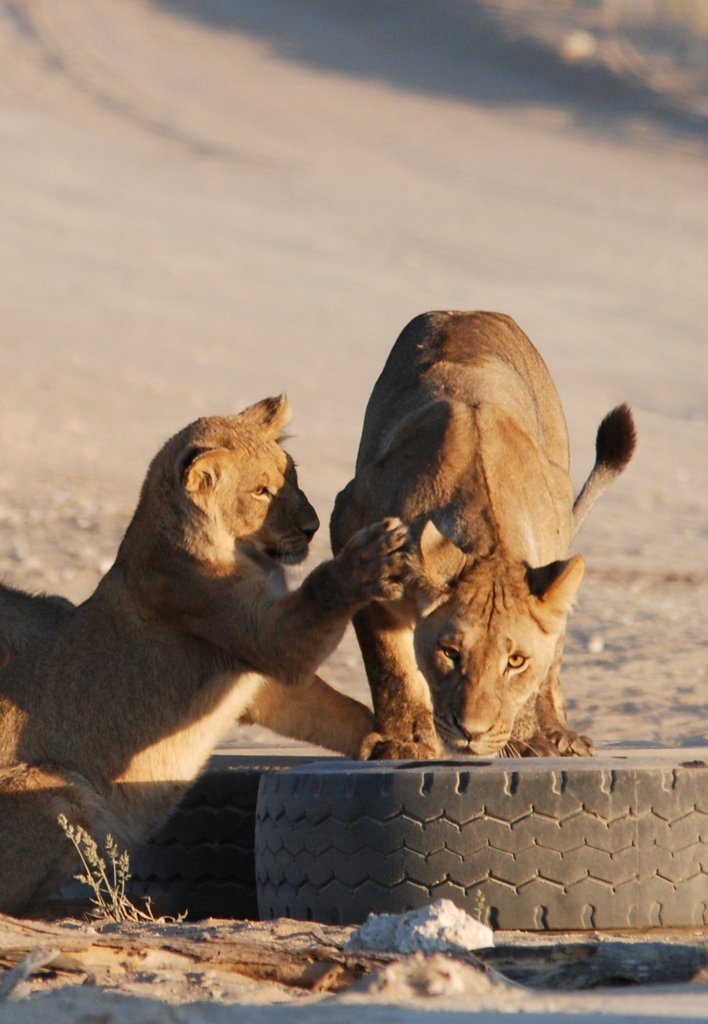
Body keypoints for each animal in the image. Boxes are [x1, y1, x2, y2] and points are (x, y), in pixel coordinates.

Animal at [0, 395, 410, 915]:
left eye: (292, 475)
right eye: (261, 491)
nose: (312, 528)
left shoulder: (260, 683)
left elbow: (329, 710)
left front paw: (385, 742)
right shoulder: (266, 636)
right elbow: (320, 595)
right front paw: (365, 561)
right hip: (63, 790)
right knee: (22, 902)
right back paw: (115, 904)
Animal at [331, 311, 636, 760]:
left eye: (516, 661)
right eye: (450, 652)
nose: (471, 732)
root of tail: (464, 311)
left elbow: (542, 663)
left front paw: (527, 739)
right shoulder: (352, 527)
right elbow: (389, 665)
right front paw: (405, 741)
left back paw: (558, 732)